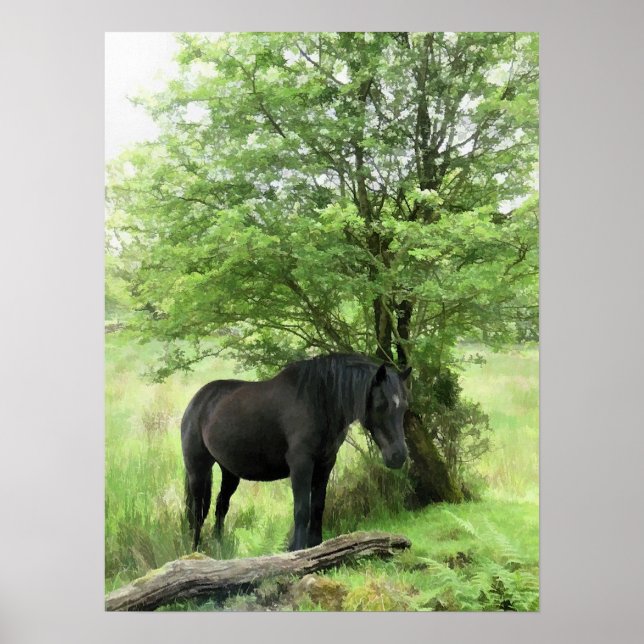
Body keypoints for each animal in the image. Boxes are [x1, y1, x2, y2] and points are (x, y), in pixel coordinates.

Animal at [180, 353, 412, 552]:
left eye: (404, 406)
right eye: (381, 404)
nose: (398, 456)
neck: (319, 401)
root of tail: (197, 401)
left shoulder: (325, 464)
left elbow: (317, 507)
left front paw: (316, 546)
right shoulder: (301, 464)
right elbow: (302, 509)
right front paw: (297, 549)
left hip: (229, 472)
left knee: (221, 507)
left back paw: (220, 549)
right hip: (198, 470)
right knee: (197, 513)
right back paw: (195, 551)